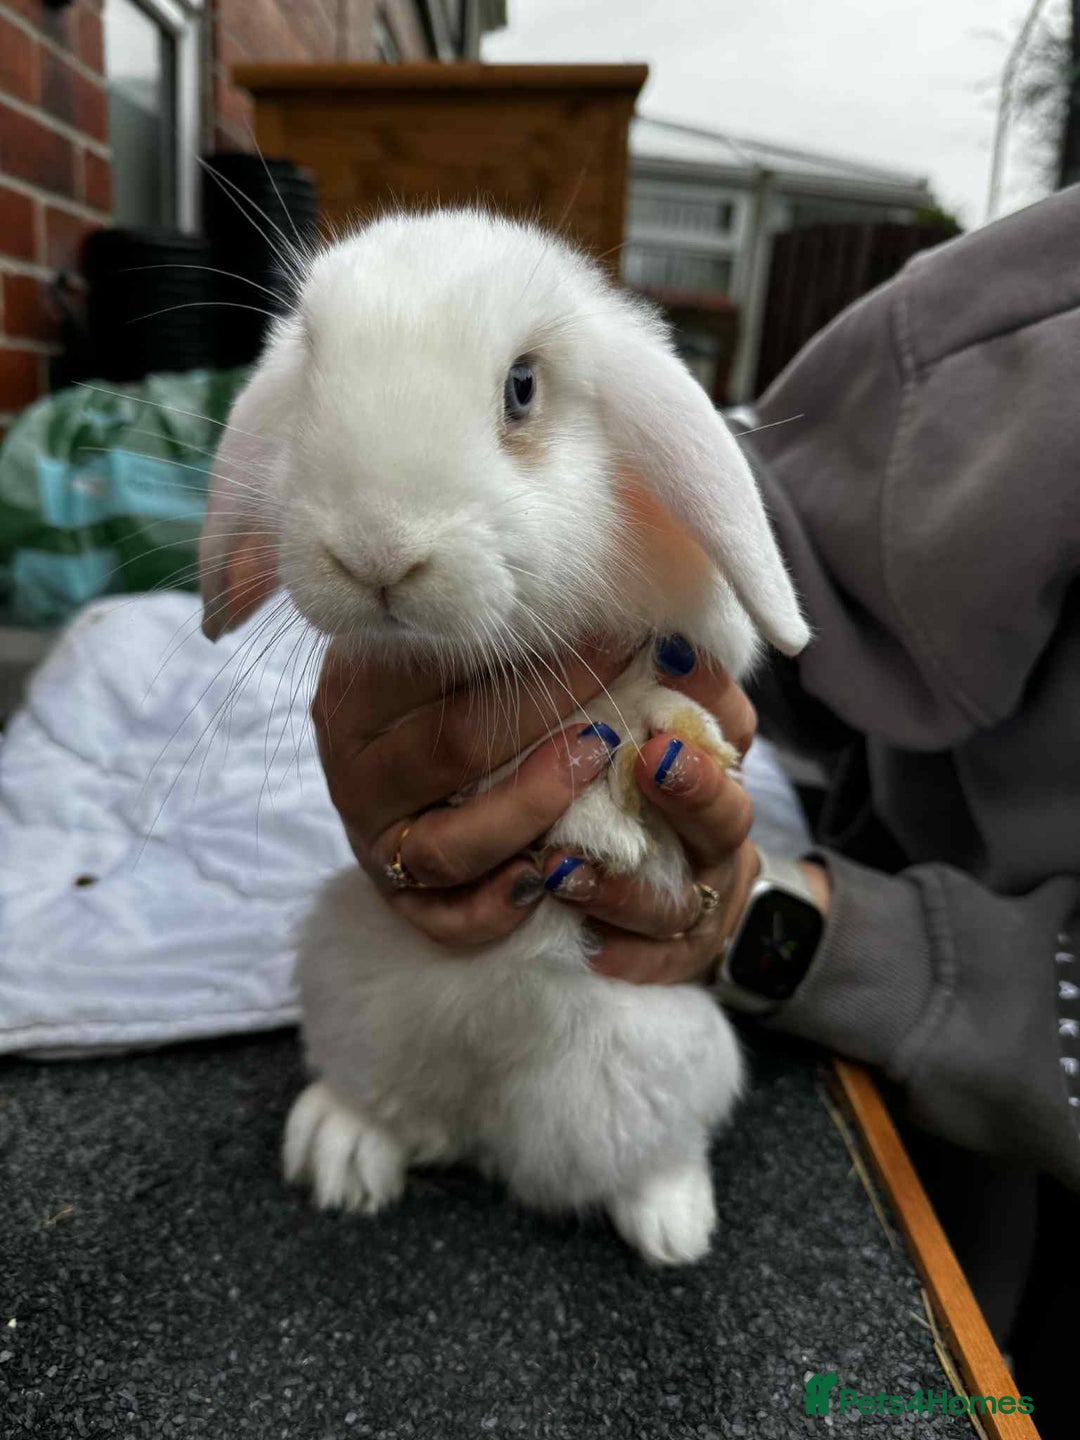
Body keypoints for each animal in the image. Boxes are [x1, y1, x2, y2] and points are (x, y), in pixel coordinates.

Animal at [199, 208, 809, 1264]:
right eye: (312, 366)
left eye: (523, 386)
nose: (377, 554)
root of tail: (486, 1127)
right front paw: (595, 817)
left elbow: (646, 707)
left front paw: (646, 780)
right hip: (347, 977)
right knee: (385, 1103)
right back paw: (342, 1156)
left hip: (672, 1050)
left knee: (649, 1150)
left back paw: (672, 1224)